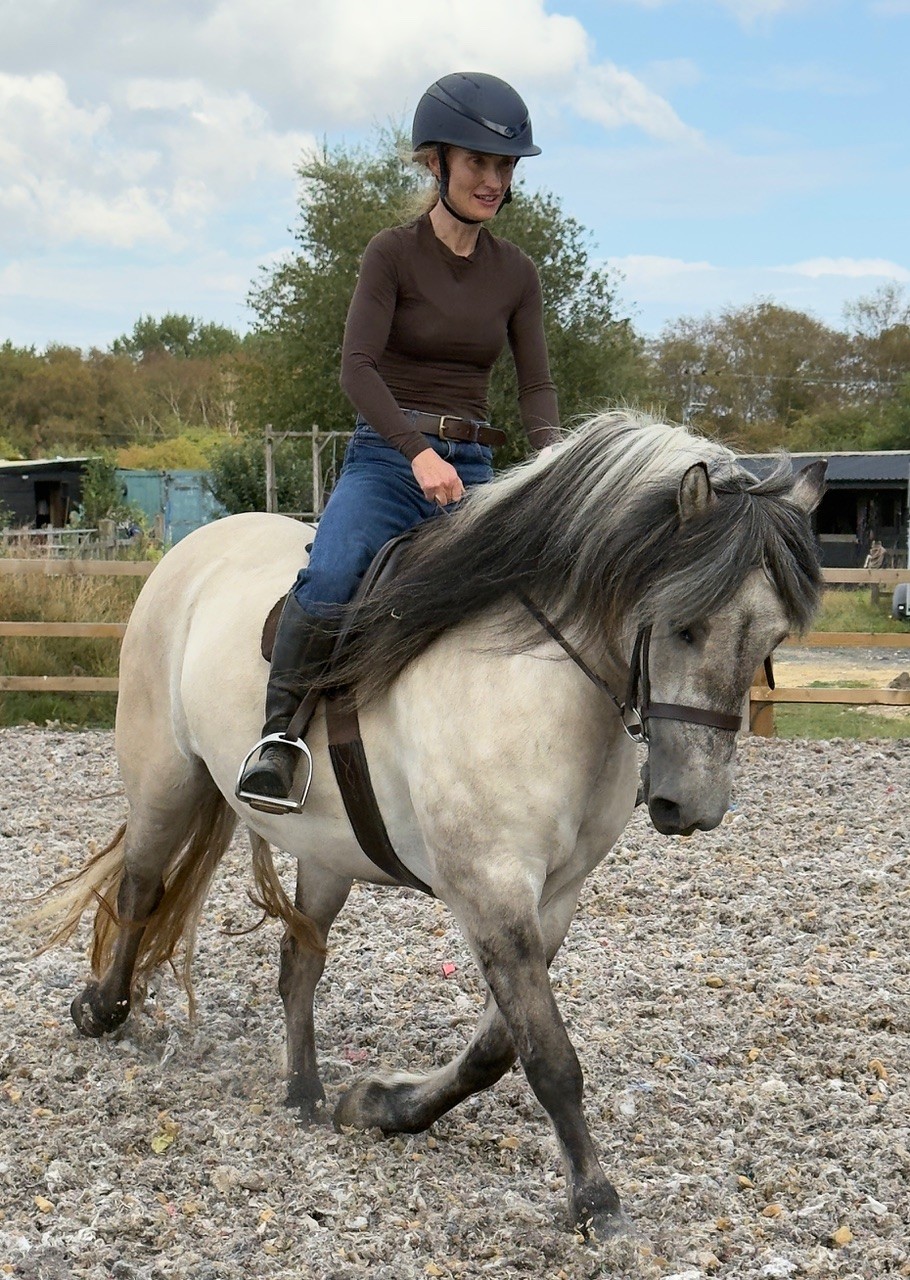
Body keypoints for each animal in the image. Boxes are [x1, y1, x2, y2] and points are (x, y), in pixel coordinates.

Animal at [38, 411, 825, 1238]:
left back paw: (305, 1090)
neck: (536, 679)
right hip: (166, 781)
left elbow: (497, 1050)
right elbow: (548, 1056)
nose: (693, 805)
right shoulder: (489, 890)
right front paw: (594, 1200)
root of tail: (197, 548)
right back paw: (101, 1010)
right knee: (140, 891)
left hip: (326, 851)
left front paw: (381, 1106)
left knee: (297, 961)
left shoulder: (552, 898)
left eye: (771, 641)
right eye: (683, 628)